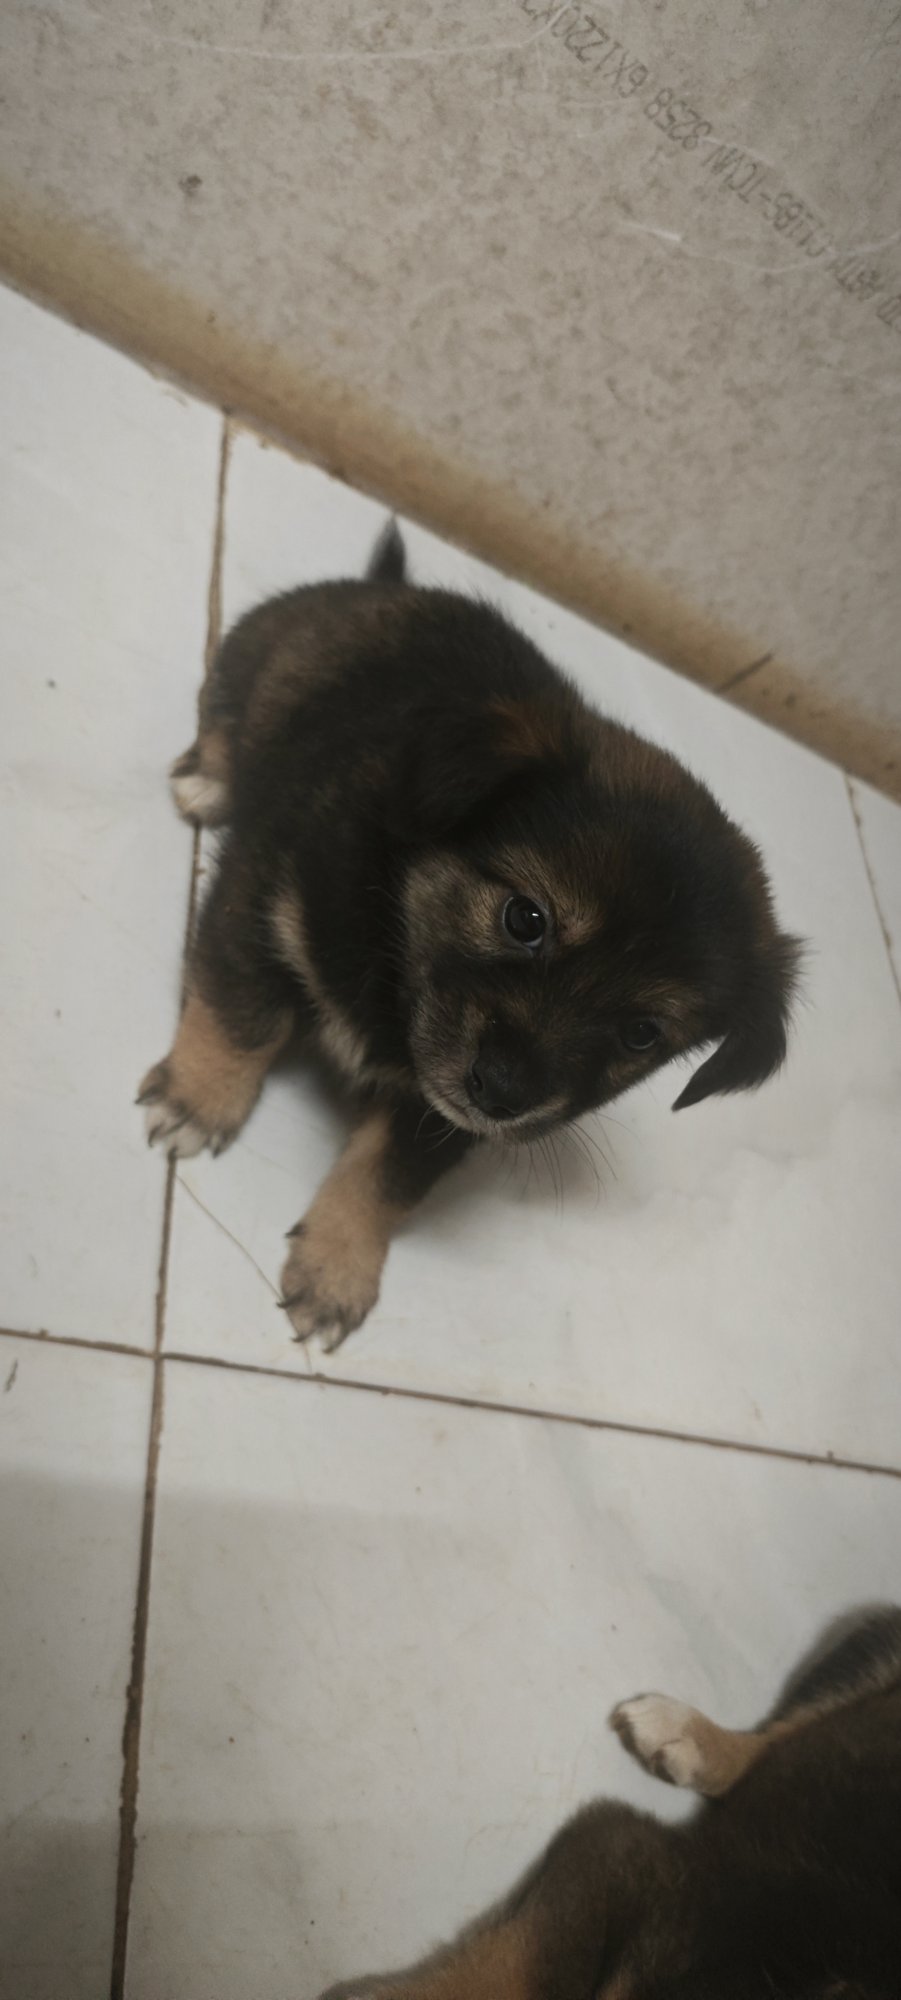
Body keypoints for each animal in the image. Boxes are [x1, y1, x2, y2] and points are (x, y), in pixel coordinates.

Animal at [139, 521, 800, 1347]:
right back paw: (208, 778)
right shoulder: (264, 905)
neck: (395, 940)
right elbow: (242, 1018)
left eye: (642, 1033)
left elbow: (386, 1174)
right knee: (223, 712)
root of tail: (393, 586)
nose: (504, 1095)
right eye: (525, 919)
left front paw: (335, 1272)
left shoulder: (440, 1110)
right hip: (254, 655)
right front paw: (196, 1104)